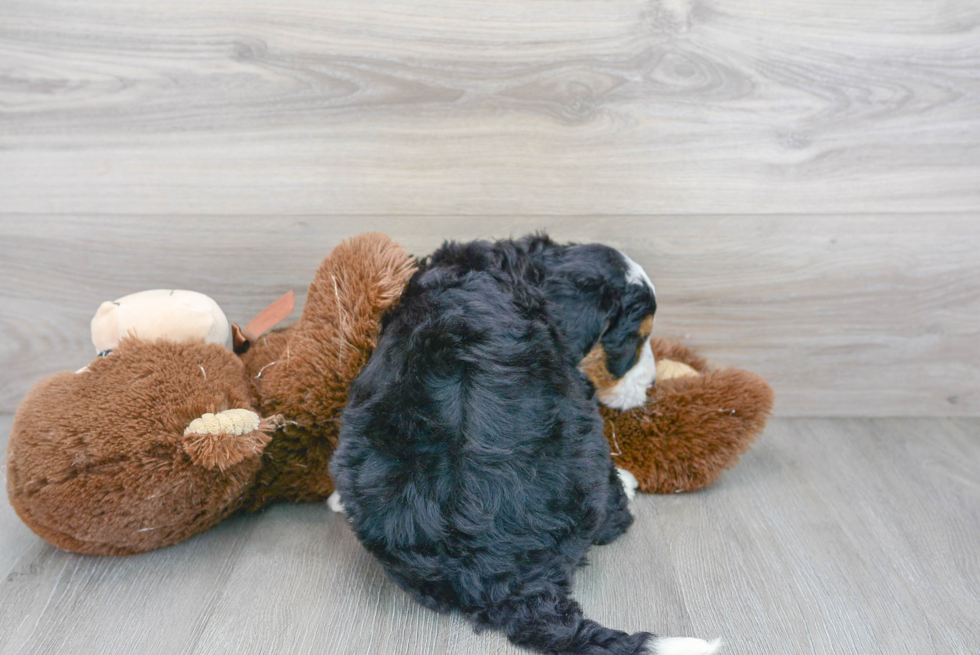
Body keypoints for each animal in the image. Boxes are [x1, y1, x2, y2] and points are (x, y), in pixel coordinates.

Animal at [330, 236, 720, 655]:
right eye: (634, 339)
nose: (650, 384)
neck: (520, 271)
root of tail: (502, 580)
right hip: (582, 440)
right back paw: (623, 498)